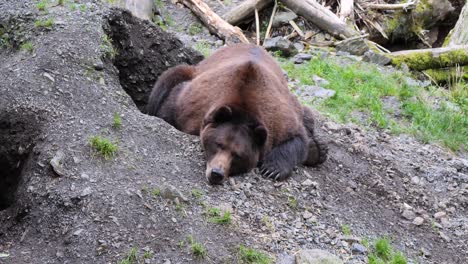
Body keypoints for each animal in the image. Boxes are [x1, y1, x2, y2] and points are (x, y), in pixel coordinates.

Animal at [146, 43, 326, 184]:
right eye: (218, 144)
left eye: (238, 155)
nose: (217, 173)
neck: (244, 110)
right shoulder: (192, 109)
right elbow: (169, 110)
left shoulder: (277, 118)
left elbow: (296, 137)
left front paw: (273, 169)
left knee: (306, 115)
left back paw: (318, 149)